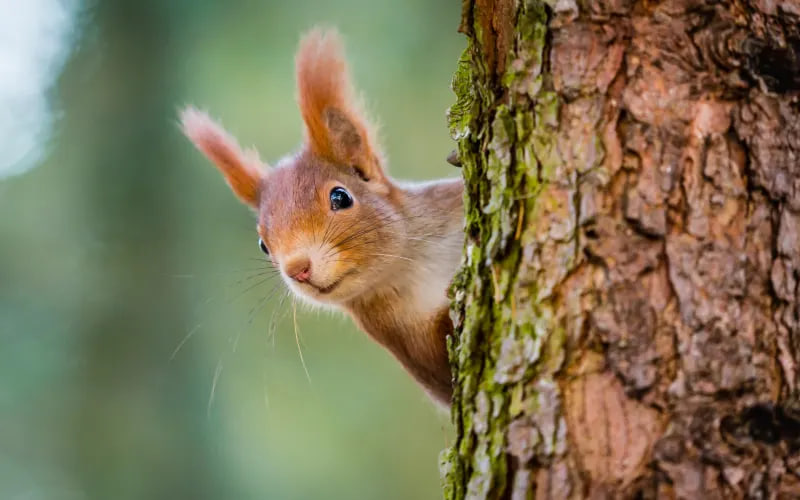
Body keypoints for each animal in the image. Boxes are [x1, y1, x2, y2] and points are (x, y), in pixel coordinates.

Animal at [180, 28, 462, 406]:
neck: (414, 265)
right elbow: (444, 372)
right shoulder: (407, 342)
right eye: (263, 245)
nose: (297, 269)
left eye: (340, 197)